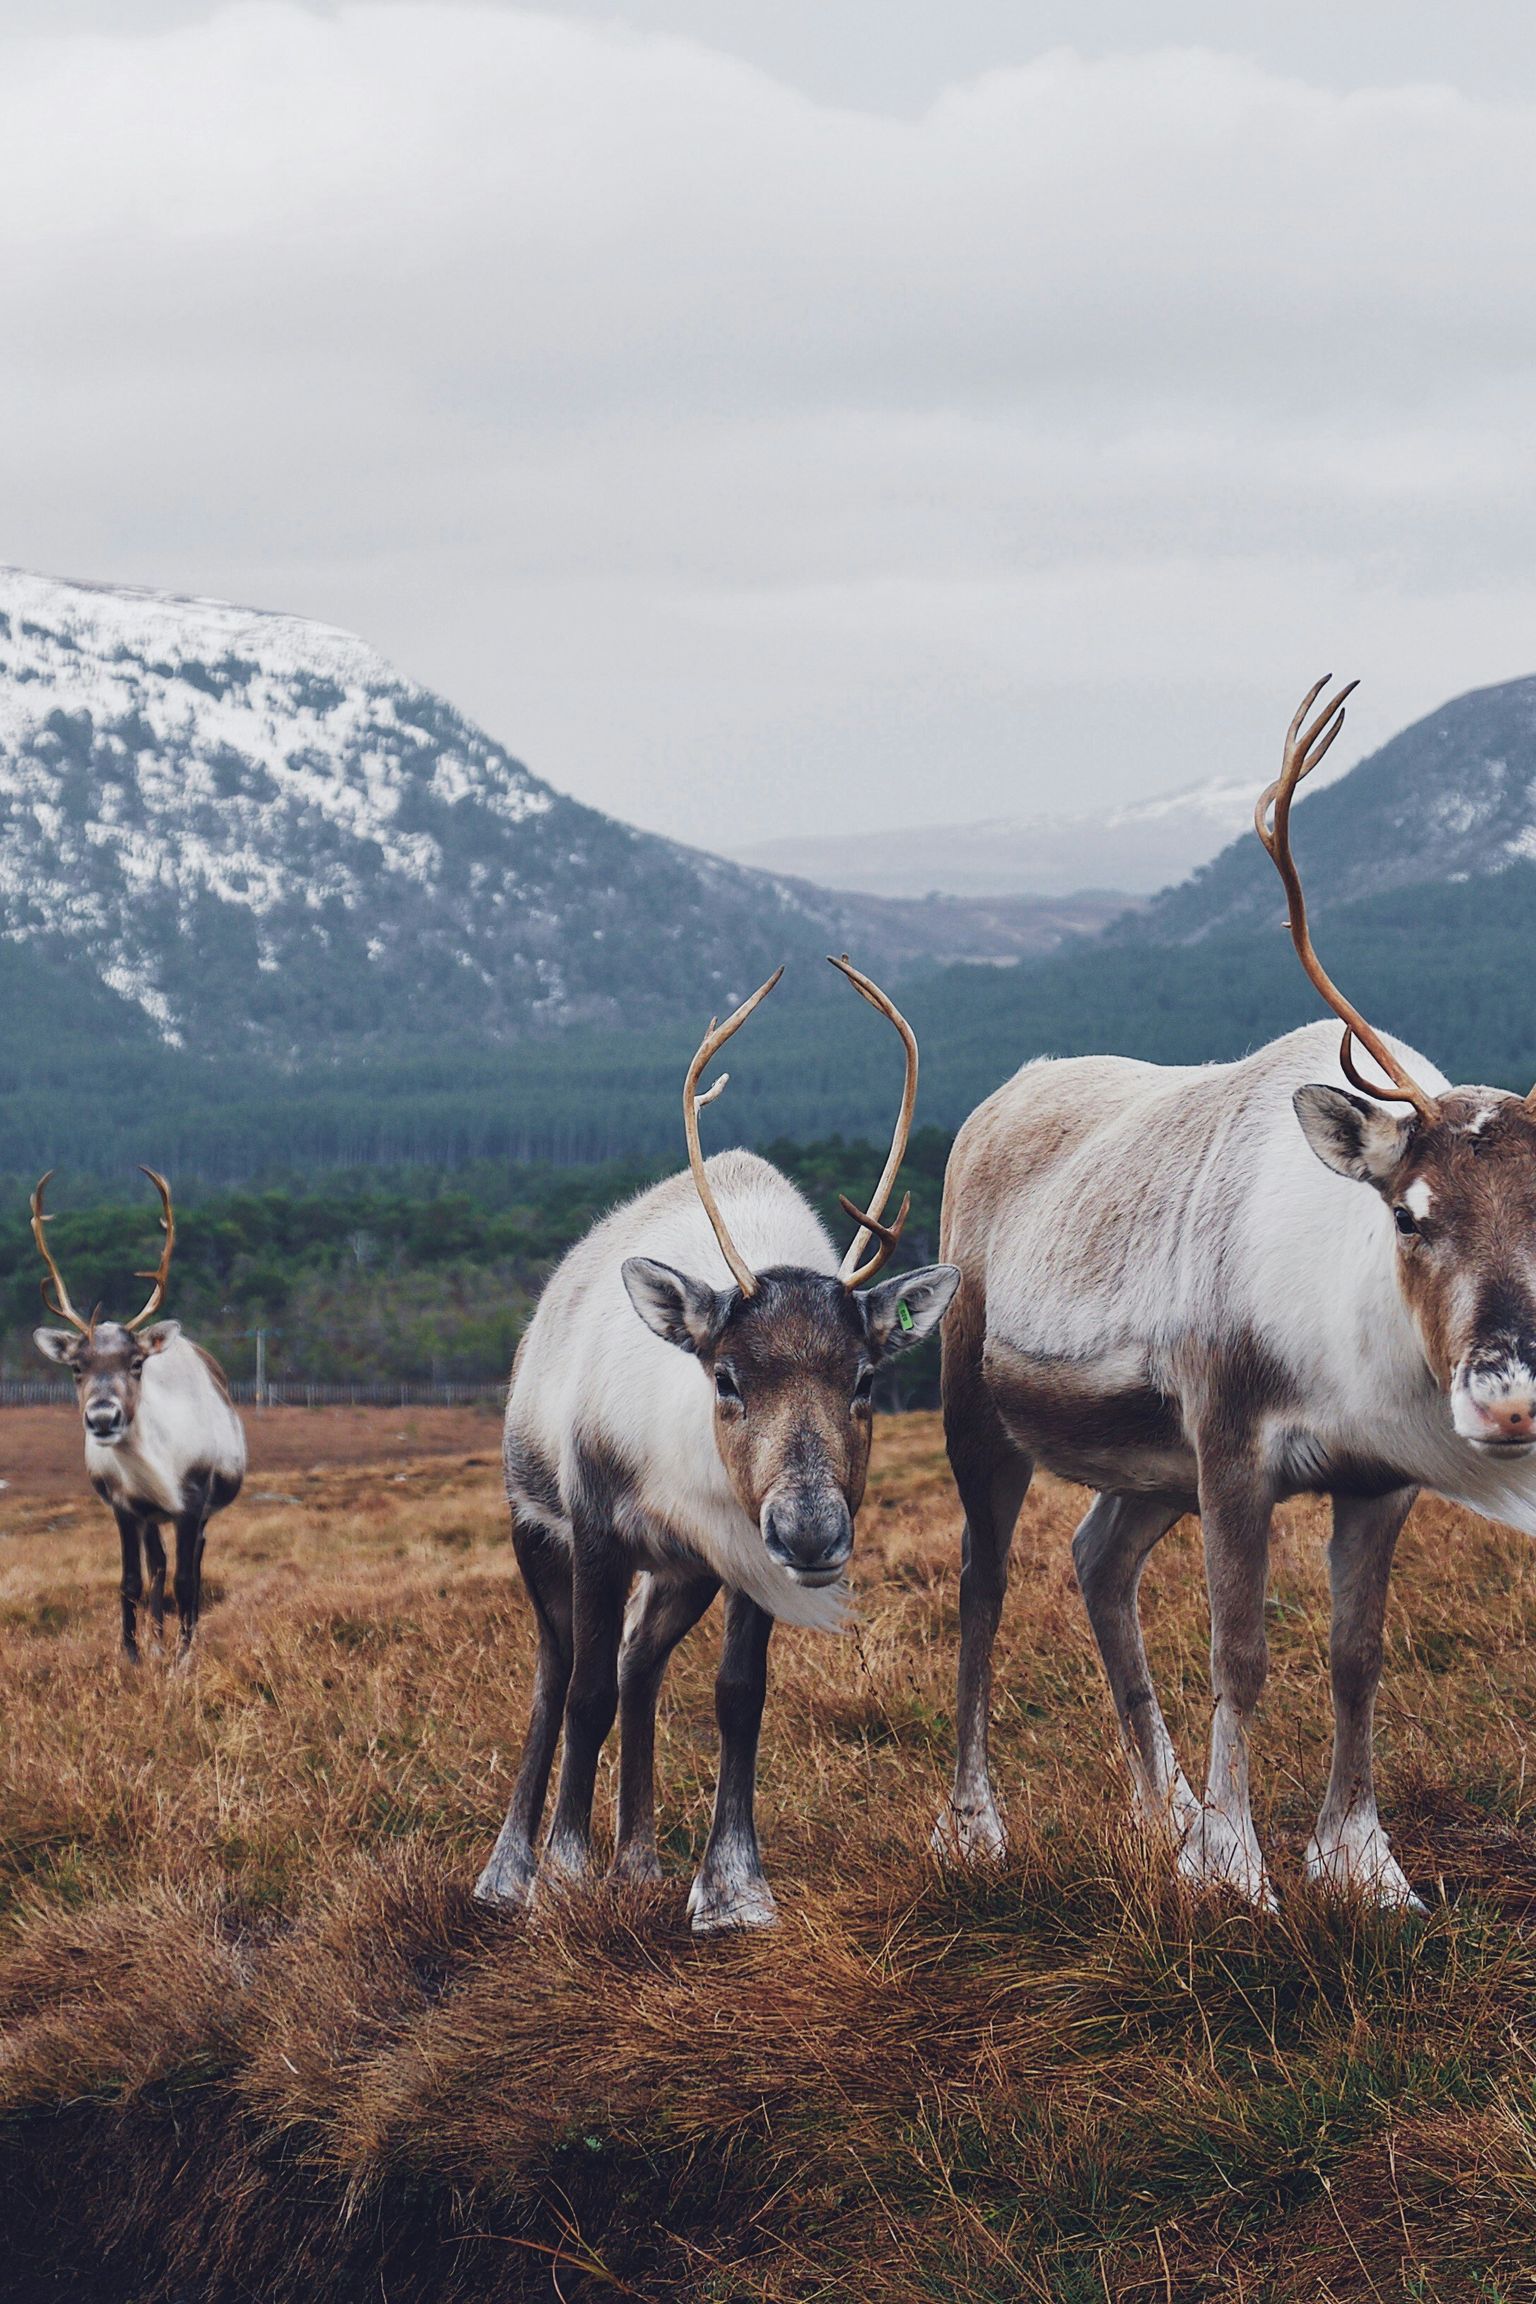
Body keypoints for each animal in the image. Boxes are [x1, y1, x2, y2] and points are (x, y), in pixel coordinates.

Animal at [31, 1169, 246, 1660]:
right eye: (77, 1366)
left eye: (136, 1363)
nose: (103, 1418)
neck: (158, 1467)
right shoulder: (127, 1506)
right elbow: (131, 1581)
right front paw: (132, 1654)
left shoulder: (192, 1501)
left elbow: (188, 1581)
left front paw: (185, 1655)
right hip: (151, 1519)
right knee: (157, 1566)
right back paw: (156, 1641)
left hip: (200, 1512)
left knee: (191, 1566)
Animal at [475, 957, 960, 1932]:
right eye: (726, 1376)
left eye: (865, 1378)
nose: (812, 1529)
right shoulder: (595, 1530)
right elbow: (582, 1694)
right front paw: (564, 1875)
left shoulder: (739, 1556)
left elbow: (739, 1695)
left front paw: (732, 1887)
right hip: (532, 1526)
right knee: (558, 1673)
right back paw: (510, 1871)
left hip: (682, 1572)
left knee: (638, 1663)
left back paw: (638, 1862)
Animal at [935, 677, 1536, 1911]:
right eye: (1409, 1214)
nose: (1505, 1399)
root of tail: (998, 1100)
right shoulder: (1229, 1442)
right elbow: (1240, 1652)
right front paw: (1234, 1869)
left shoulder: (1378, 1479)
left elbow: (1357, 1657)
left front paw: (1362, 1864)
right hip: (980, 1407)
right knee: (983, 1584)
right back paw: (975, 1829)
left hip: (1147, 1467)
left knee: (1097, 1559)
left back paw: (1159, 1811)